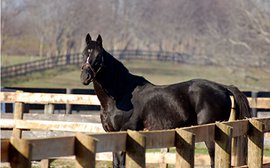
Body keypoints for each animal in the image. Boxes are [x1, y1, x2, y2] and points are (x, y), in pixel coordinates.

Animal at [80, 33, 251, 167]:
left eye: (98, 56)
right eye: (83, 54)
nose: (85, 77)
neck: (121, 95)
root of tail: (222, 87)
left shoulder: (125, 131)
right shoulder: (113, 134)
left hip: (210, 134)